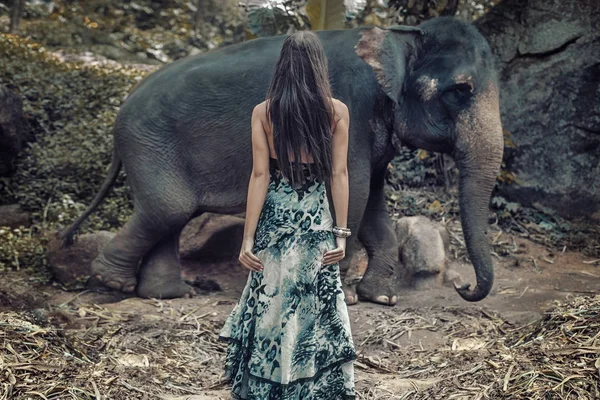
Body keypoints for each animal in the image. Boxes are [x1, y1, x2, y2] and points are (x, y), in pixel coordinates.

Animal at [61, 14, 504, 304]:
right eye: (460, 91)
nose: (464, 288)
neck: (396, 34)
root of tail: (121, 108)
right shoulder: (347, 108)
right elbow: (354, 189)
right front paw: (347, 296)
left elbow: (372, 199)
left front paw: (381, 298)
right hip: (148, 144)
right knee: (167, 209)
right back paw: (113, 284)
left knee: (171, 214)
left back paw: (169, 293)